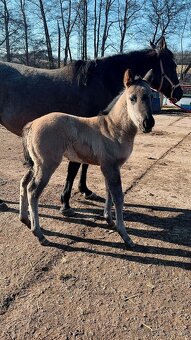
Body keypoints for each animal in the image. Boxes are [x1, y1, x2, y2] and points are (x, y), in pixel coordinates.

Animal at [0, 37, 182, 212]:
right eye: (172, 65)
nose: (179, 93)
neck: (97, 82)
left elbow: (85, 164)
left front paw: (85, 191)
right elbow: (74, 167)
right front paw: (65, 202)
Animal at [19, 69, 154, 248]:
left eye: (151, 96)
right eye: (132, 98)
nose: (148, 123)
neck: (113, 128)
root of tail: (32, 124)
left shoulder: (109, 167)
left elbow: (109, 192)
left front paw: (109, 221)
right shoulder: (111, 167)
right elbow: (118, 197)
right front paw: (125, 236)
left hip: (35, 164)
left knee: (23, 183)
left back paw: (25, 220)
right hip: (46, 165)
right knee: (33, 190)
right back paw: (40, 234)